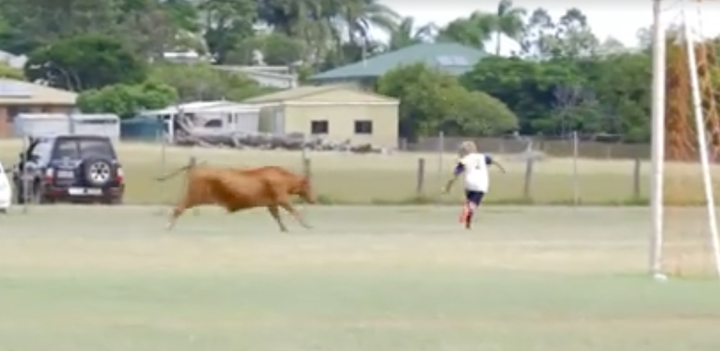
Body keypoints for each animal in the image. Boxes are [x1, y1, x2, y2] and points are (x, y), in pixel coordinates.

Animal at [158, 164, 316, 232]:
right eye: (309, 185)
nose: (314, 199)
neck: (284, 179)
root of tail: (197, 168)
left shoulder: (272, 203)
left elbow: (277, 216)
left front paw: (284, 228)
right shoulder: (282, 199)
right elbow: (295, 212)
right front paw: (307, 225)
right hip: (192, 197)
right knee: (177, 209)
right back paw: (167, 226)